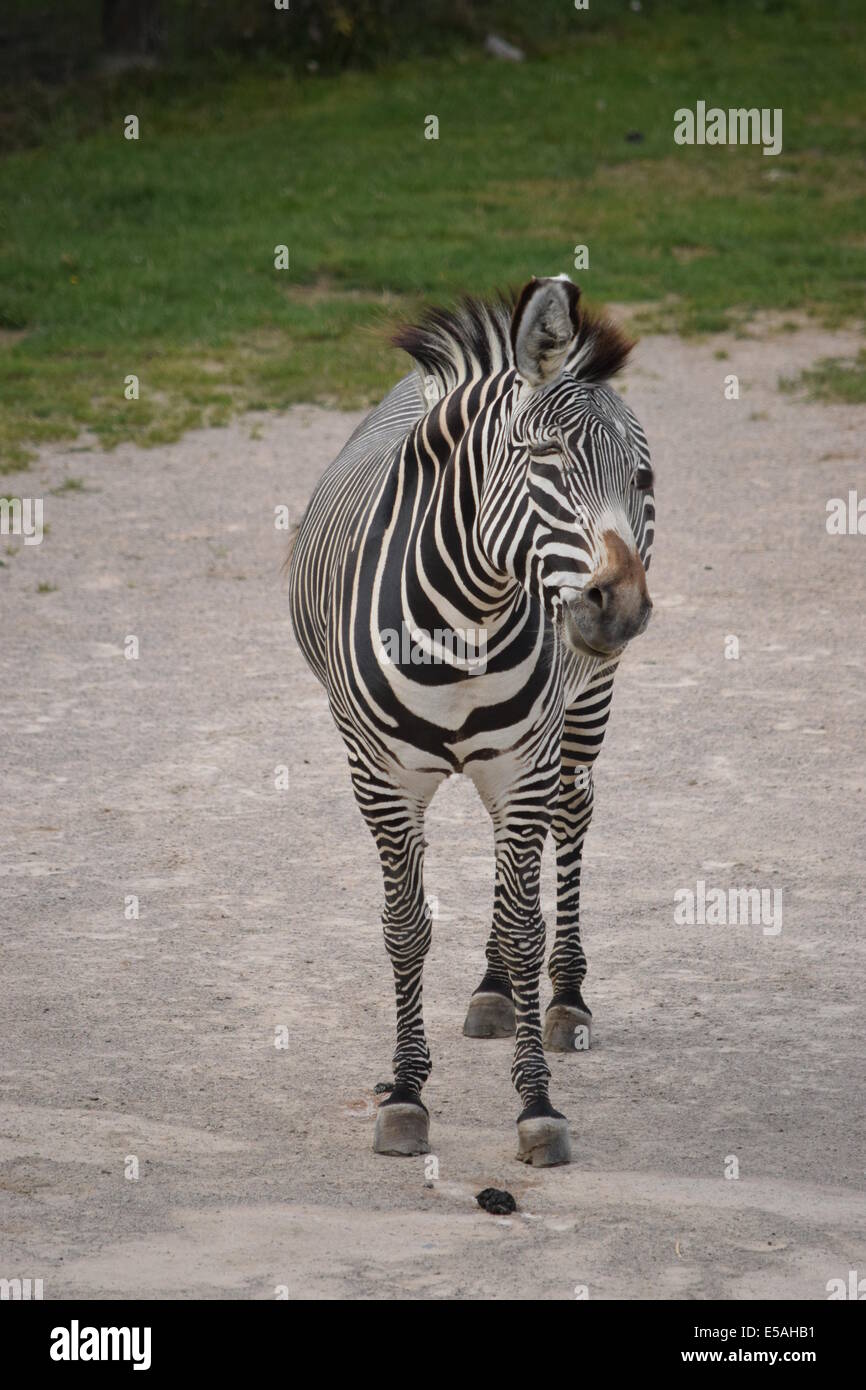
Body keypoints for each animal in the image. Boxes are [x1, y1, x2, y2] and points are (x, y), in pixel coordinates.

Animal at [287, 273, 653, 1162]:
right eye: (545, 458)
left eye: (640, 479)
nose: (622, 608)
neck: (465, 615)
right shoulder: (380, 780)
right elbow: (406, 927)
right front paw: (405, 1093)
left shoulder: (524, 766)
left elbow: (525, 929)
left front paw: (537, 1106)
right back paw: (491, 991)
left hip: (583, 708)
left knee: (571, 820)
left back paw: (562, 998)